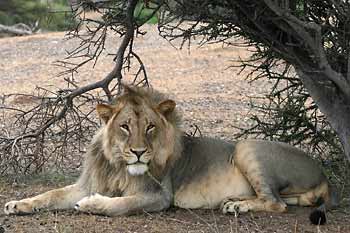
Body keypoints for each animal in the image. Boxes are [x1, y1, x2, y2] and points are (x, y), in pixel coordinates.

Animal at [4, 85, 338, 224]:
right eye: (125, 127)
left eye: (150, 127)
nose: (139, 153)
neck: (118, 165)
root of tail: (323, 173)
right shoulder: (87, 183)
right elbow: (50, 194)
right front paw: (17, 205)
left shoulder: (159, 196)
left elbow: (120, 204)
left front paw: (91, 205)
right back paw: (235, 202)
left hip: (247, 146)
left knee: (276, 203)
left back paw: (237, 207)